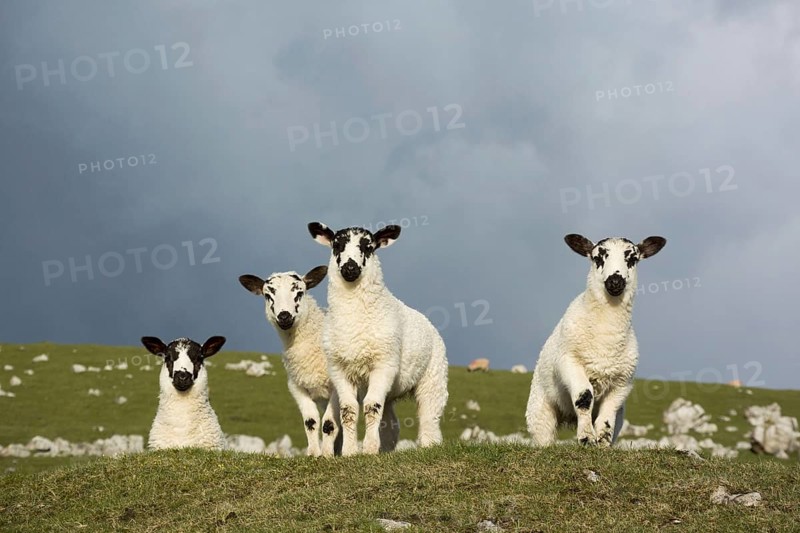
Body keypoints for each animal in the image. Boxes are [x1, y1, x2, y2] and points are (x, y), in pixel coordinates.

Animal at [238, 265, 342, 457]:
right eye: (268, 295)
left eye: (300, 292)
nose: (284, 316)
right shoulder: (296, 386)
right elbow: (311, 421)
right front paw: (314, 454)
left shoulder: (337, 385)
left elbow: (329, 423)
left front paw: (326, 454)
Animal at [308, 222, 449, 456]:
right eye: (336, 245)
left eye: (369, 247)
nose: (350, 268)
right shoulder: (339, 369)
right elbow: (349, 410)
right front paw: (349, 452)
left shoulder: (384, 364)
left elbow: (371, 406)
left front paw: (369, 449)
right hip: (391, 390)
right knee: (390, 423)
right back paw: (387, 449)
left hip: (433, 376)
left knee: (429, 415)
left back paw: (429, 445)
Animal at [525, 234, 666, 447]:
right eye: (597, 258)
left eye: (632, 259)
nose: (615, 281)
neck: (606, 339)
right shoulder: (569, 363)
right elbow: (584, 397)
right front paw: (586, 438)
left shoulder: (623, 381)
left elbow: (608, 414)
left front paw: (602, 442)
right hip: (540, 411)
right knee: (544, 436)